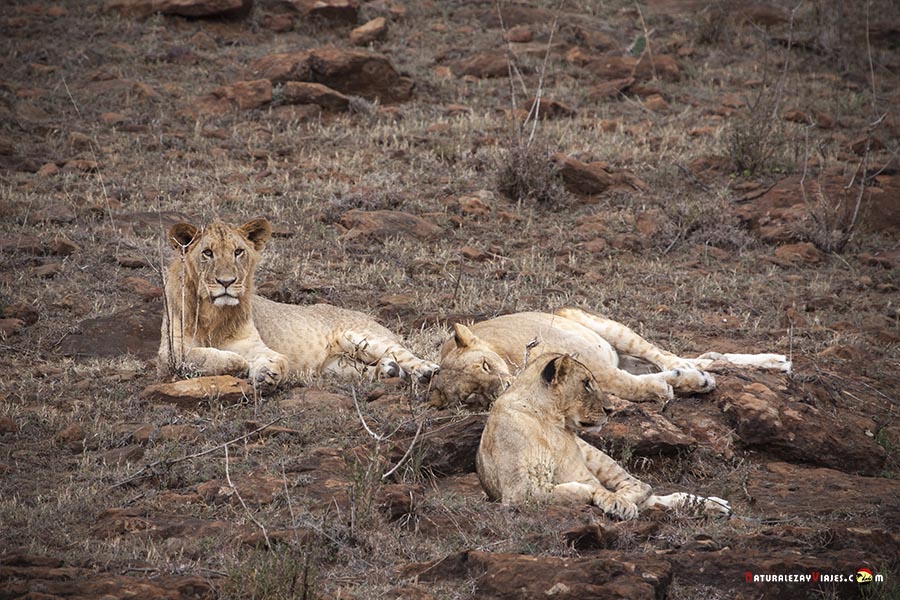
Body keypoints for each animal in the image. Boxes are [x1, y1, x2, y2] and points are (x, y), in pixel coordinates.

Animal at [158, 218, 440, 388]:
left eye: (238, 252)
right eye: (207, 253)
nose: (226, 282)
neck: (213, 313)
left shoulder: (253, 343)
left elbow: (276, 358)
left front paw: (265, 371)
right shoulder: (168, 353)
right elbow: (200, 354)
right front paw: (243, 365)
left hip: (361, 336)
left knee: (403, 353)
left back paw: (425, 370)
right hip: (333, 367)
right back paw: (388, 371)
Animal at [430, 308, 790, 408]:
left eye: (485, 365)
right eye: (472, 394)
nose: (502, 388)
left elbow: (621, 382)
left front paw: (676, 384)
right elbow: (626, 383)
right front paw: (666, 386)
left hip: (598, 324)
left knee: (670, 357)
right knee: (701, 359)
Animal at [476, 352, 730, 519]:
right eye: (587, 383)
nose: (610, 410)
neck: (551, 421)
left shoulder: (577, 470)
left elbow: (598, 487)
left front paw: (619, 502)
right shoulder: (518, 491)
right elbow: (572, 490)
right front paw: (614, 502)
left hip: (596, 455)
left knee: (642, 487)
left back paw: (715, 505)